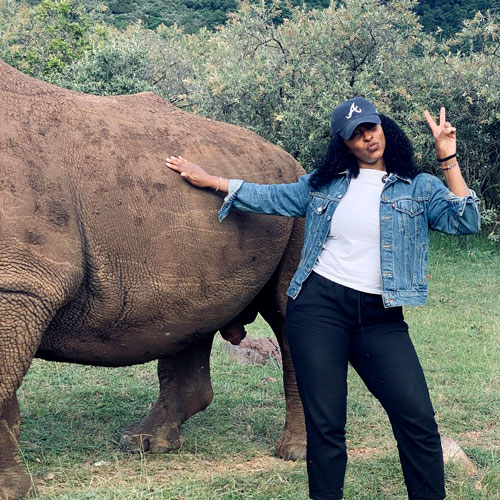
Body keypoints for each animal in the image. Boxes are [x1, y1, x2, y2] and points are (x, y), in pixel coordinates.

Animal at [0, 60, 306, 498]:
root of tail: (291, 160)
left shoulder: (21, 283)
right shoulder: (20, 286)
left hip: (300, 204)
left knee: (285, 310)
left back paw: (292, 453)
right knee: (190, 314)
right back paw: (144, 443)